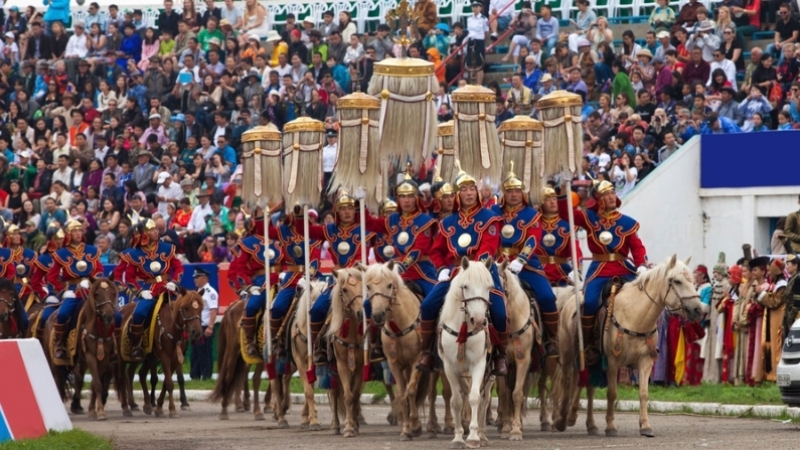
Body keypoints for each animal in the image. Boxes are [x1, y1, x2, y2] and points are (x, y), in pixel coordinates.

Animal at [120, 288, 206, 418]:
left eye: (201, 308)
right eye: (186, 308)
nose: (196, 332)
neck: (172, 326)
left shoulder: (176, 358)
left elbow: (167, 382)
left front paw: (160, 407)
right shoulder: (164, 357)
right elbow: (169, 383)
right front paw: (172, 409)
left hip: (144, 358)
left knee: (137, 374)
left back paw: (142, 405)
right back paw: (128, 406)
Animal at [366, 260, 434, 440]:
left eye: (389, 285)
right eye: (368, 286)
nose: (378, 315)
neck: (399, 326)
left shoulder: (417, 360)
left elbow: (411, 391)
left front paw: (415, 426)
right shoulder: (394, 364)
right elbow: (402, 394)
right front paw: (406, 429)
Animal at [440, 258, 496, 448]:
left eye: (489, 287)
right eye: (465, 286)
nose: (478, 321)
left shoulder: (479, 364)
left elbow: (475, 398)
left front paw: (473, 436)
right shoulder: (449, 367)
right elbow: (456, 401)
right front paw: (458, 437)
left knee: (484, 399)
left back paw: (483, 434)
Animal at [552, 255, 704, 438]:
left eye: (692, 280)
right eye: (677, 281)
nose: (697, 309)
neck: (635, 316)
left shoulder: (645, 361)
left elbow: (644, 394)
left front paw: (645, 426)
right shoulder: (612, 362)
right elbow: (612, 394)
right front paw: (611, 426)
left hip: (591, 360)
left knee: (586, 386)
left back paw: (586, 423)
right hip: (568, 353)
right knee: (567, 381)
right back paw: (561, 420)